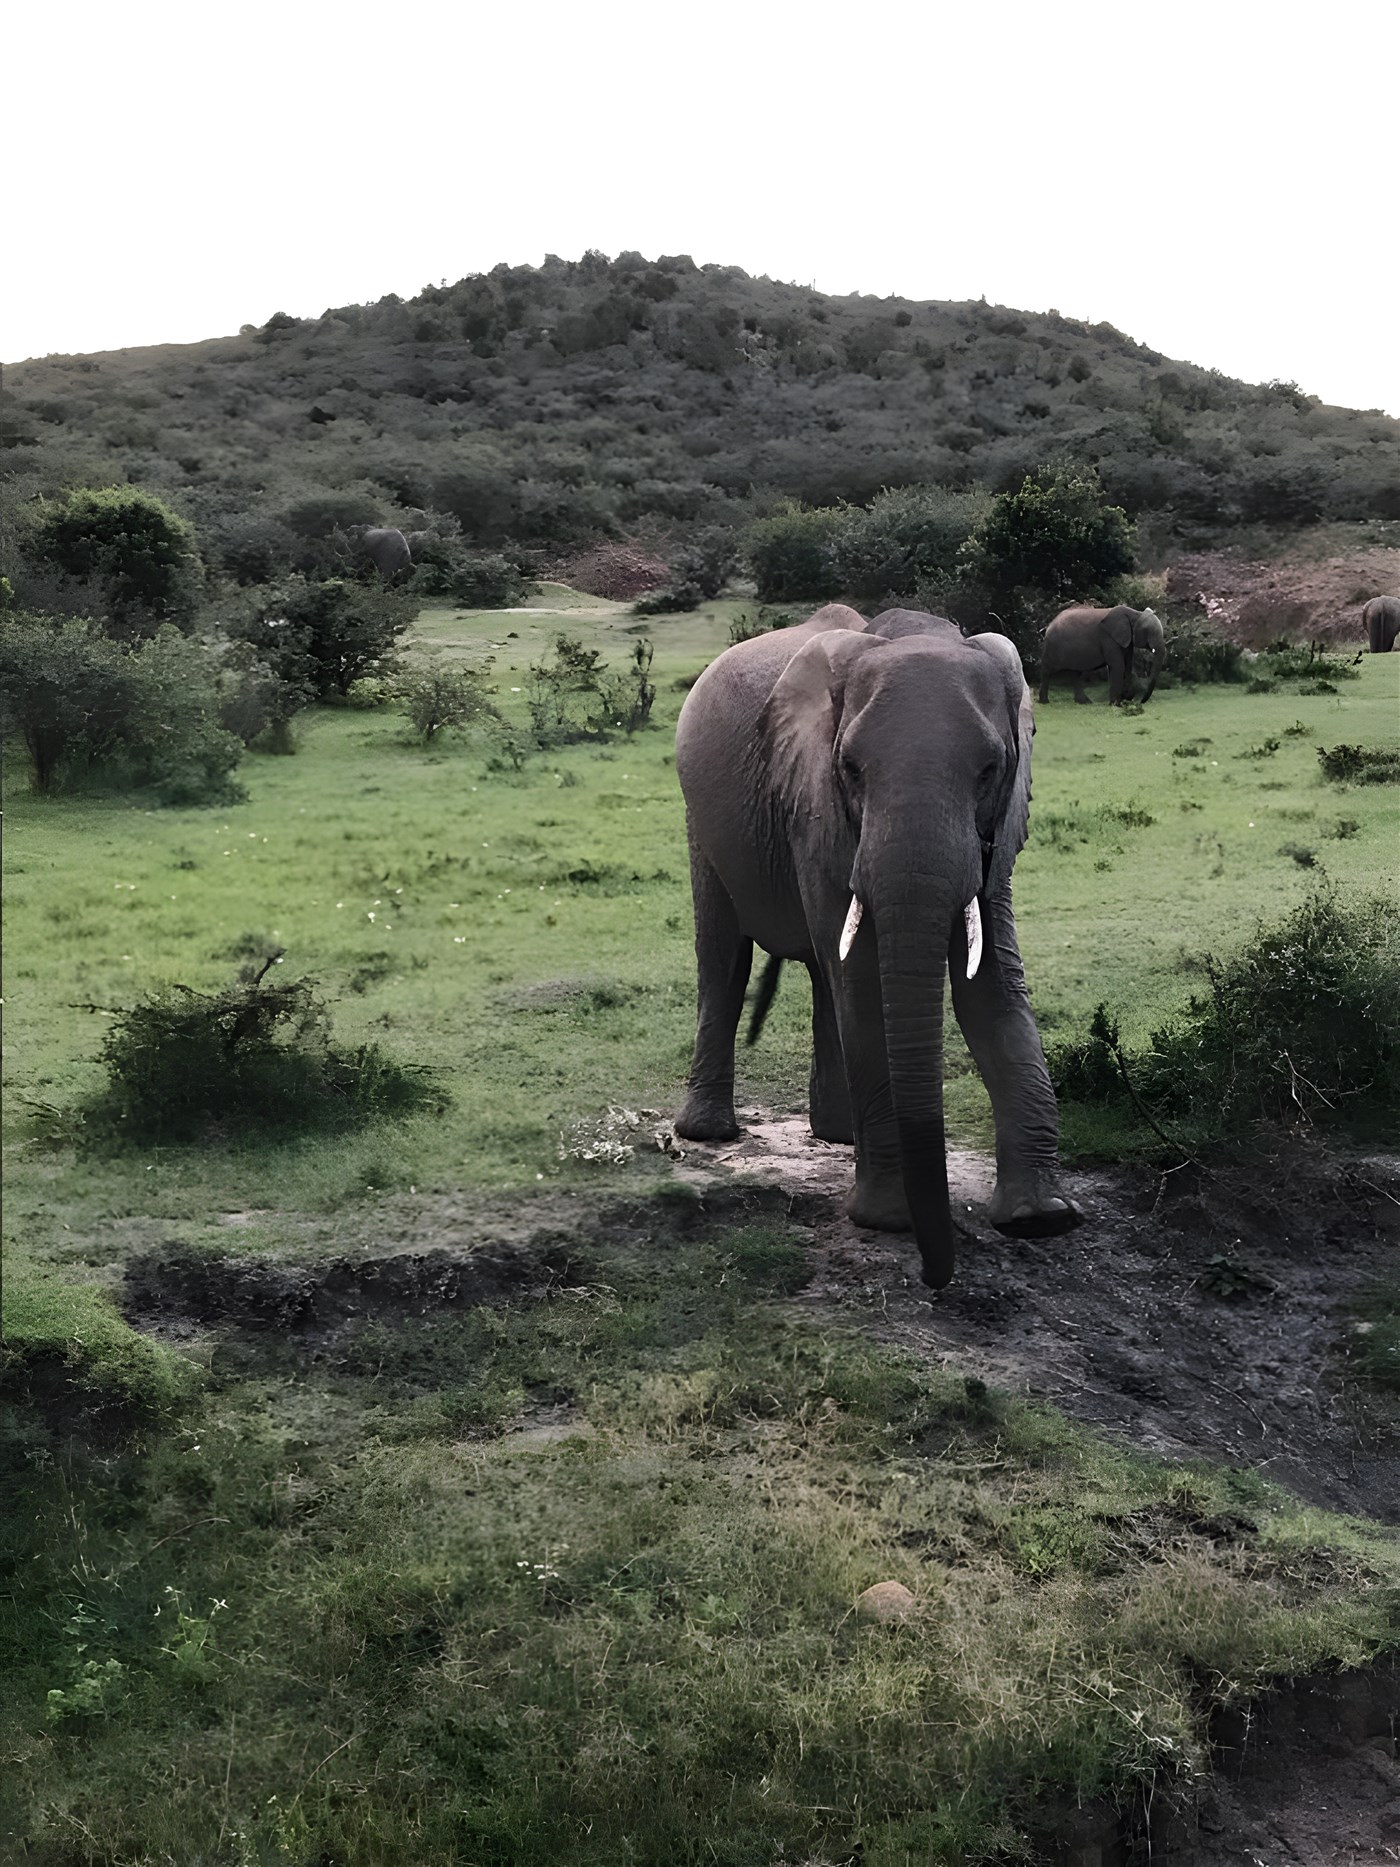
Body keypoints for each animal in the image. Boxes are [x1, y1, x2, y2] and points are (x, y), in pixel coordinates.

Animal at [674, 603, 1079, 1289]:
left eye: (991, 771)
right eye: (851, 770)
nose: (937, 1276)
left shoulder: (997, 831)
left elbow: (992, 982)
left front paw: (1040, 1217)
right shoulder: (815, 803)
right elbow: (864, 982)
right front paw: (890, 1221)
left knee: (820, 970)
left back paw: (836, 1135)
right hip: (701, 819)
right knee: (725, 957)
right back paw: (708, 1132)